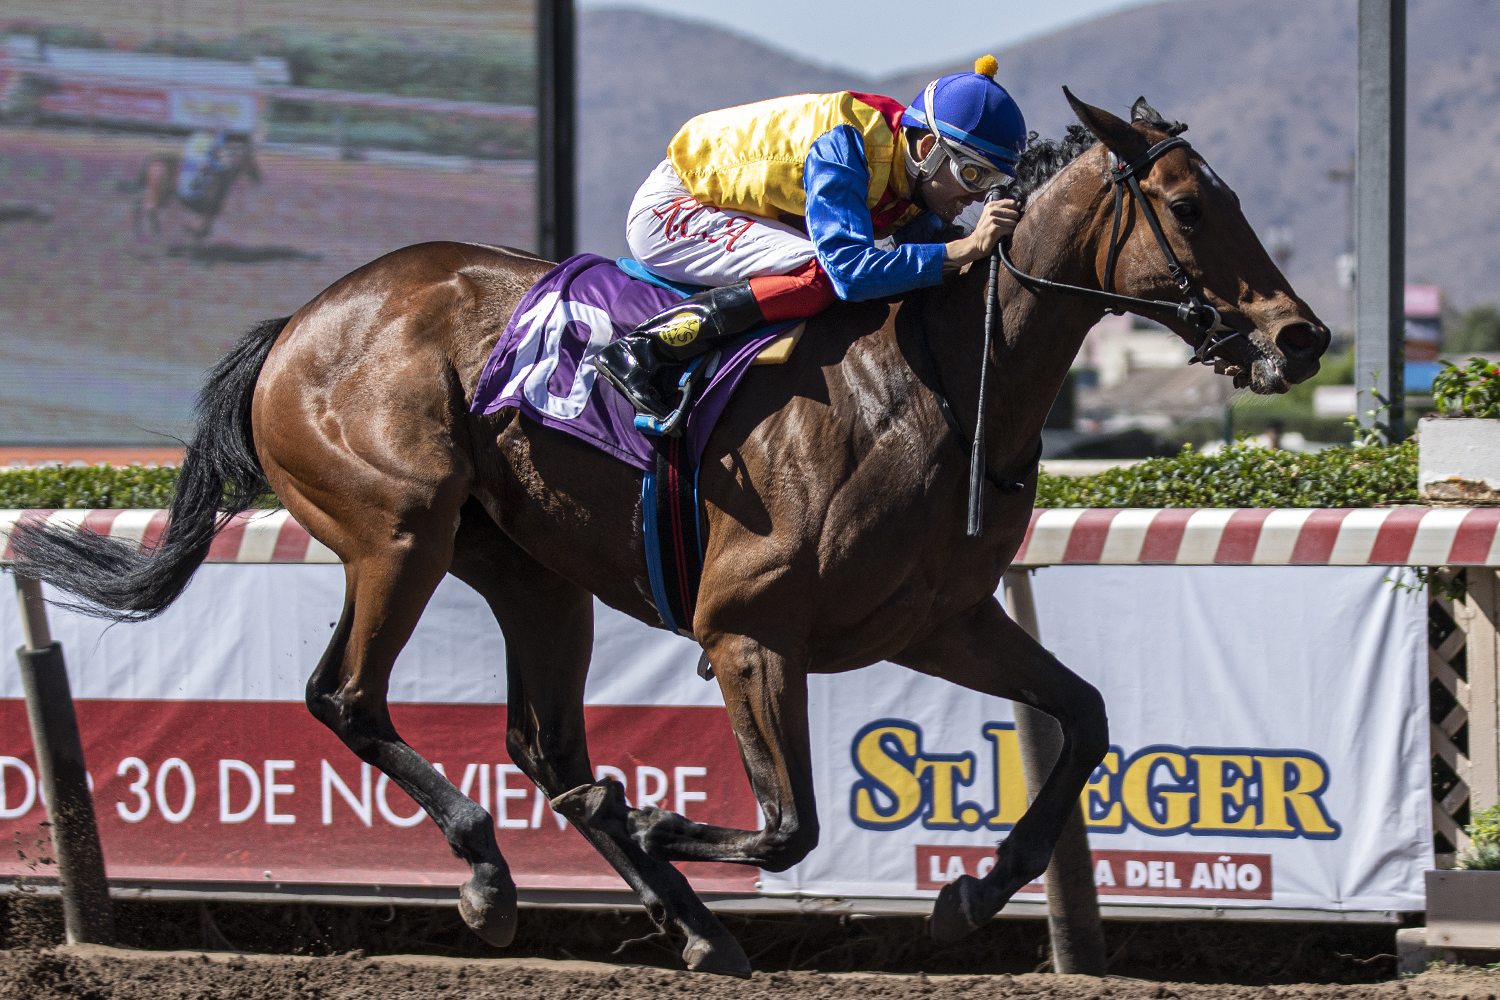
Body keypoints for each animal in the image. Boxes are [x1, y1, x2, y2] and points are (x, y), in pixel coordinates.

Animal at [129, 137, 262, 243]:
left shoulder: (205, 211)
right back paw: (155, 239)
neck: (220, 174)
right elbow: (202, 230)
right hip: (159, 193)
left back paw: (138, 235)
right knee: (149, 209)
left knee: (139, 205)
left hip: (159, 194)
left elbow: (203, 230)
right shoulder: (207, 209)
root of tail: (155, 159)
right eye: (253, 160)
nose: (259, 178)